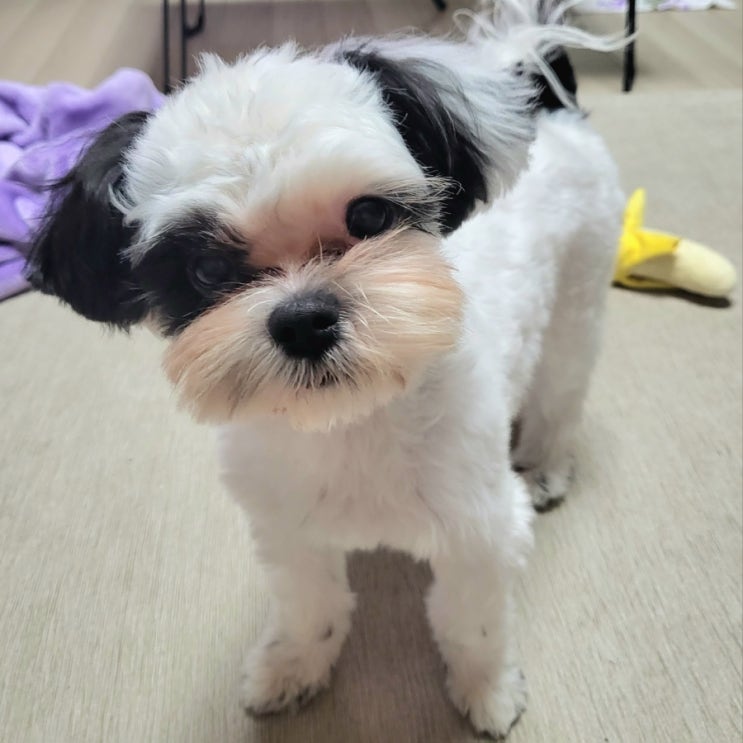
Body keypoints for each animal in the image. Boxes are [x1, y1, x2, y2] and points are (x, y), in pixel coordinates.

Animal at [27, 1, 625, 737]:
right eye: (206, 270)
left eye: (368, 215)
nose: (304, 317)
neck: (352, 423)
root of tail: (539, 95)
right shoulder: (288, 530)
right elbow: (309, 607)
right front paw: (291, 667)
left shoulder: (478, 531)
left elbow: (471, 626)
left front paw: (487, 690)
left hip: (578, 299)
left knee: (560, 392)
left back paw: (545, 464)